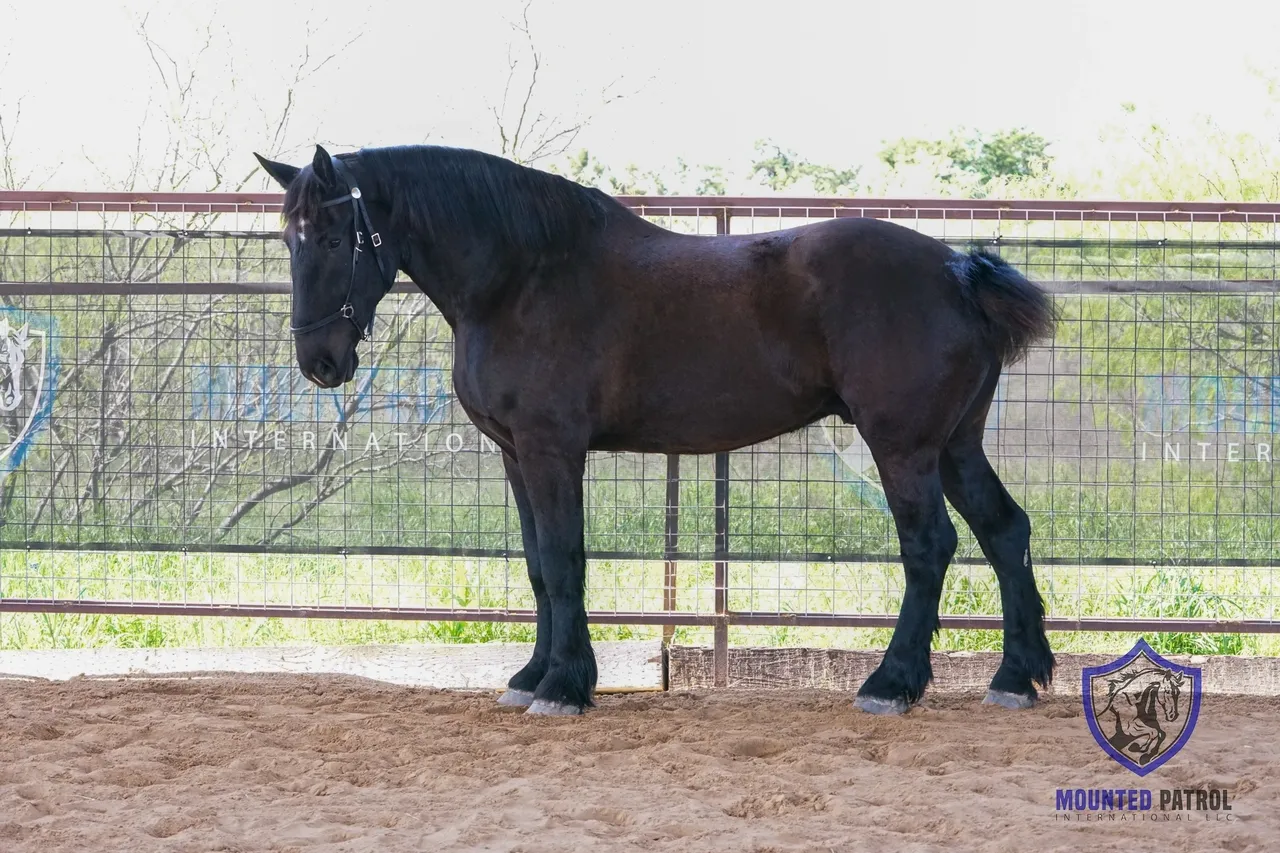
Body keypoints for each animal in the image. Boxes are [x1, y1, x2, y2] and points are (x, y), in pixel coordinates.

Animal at [253, 143, 1058, 717]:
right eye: (287, 240)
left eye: (334, 236)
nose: (320, 362)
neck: (520, 278)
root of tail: (958, 268)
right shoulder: (515, 455)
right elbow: (539, 567)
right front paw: (532, 675)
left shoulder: (551, 450)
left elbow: (564, 560)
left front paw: (565, 687)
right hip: (954, 446)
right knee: (1005, 530)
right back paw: (1016, 677)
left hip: (903, 448)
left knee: (930, 547)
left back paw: (892, 683)